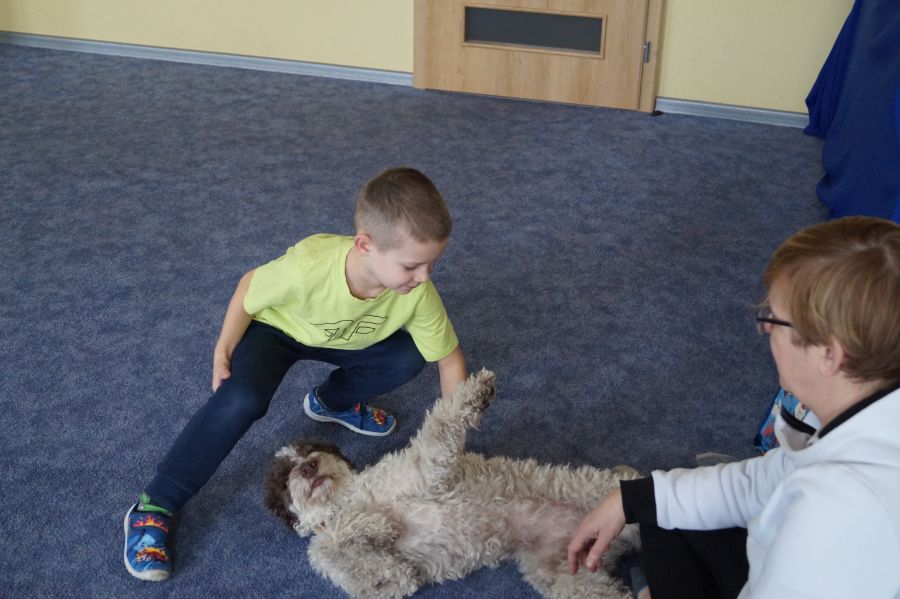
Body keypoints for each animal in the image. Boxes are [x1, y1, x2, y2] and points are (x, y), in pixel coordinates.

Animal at [264, 369, 641, 599]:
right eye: (284, 477)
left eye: (312, 449)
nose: (309, 467)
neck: (347, 500)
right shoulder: (393, 579)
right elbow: (332, 548)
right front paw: (376, 528)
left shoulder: (423, 468)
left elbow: (442, 421)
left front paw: (476, 392)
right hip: (570, 575)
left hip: (601, 493)